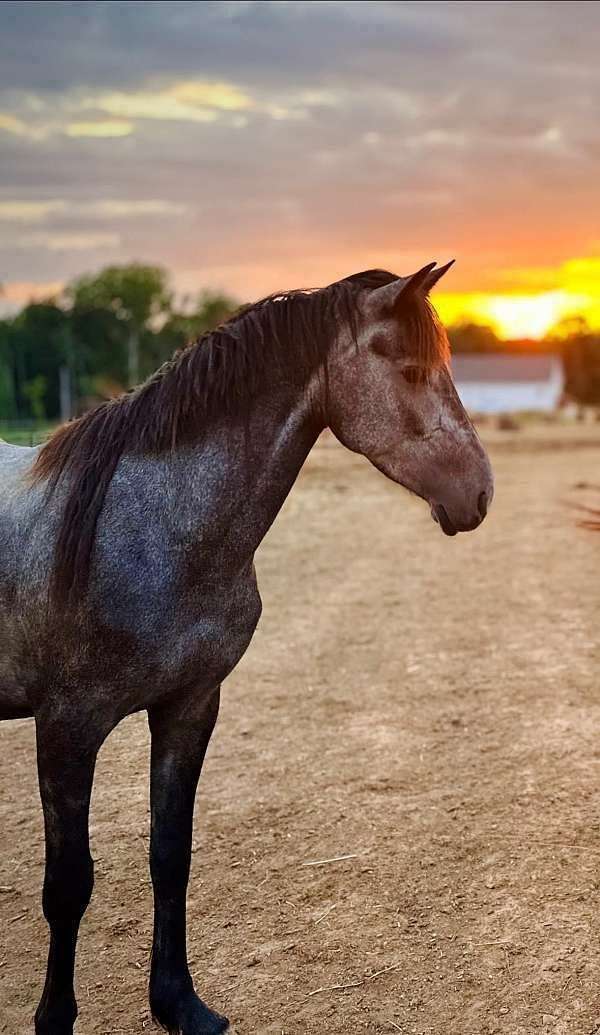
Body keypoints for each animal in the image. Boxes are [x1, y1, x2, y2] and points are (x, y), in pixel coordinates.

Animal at [0, 262, 492, 1030]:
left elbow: (171, 854)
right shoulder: (66, 730)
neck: (149, 526)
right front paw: (54, 1018)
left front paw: (180, 1003)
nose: (480, 493)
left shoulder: (189, 708)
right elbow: (68, 885)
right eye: (412, 370)